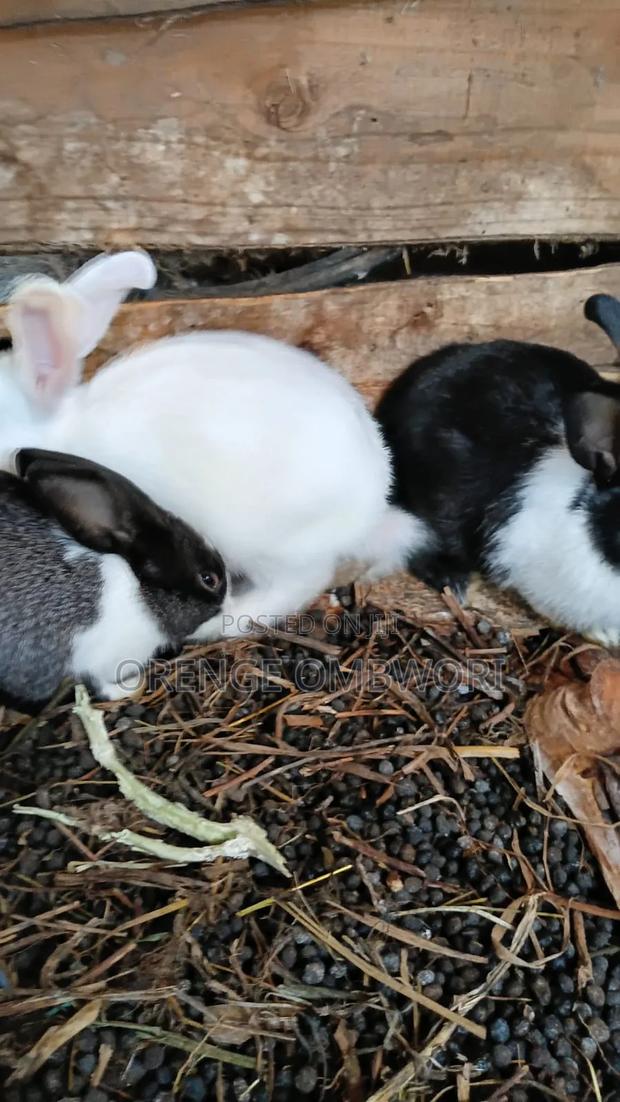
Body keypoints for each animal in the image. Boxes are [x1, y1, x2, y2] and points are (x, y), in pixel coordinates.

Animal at [0, 448, 226, 702]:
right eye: (209, 579)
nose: (228, 614)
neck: (141, 593)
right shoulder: (89, 659)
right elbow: (99, 686)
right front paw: (133, 685)